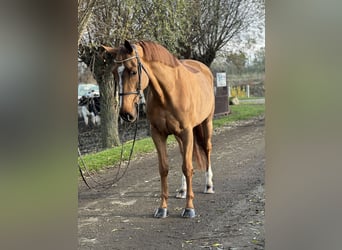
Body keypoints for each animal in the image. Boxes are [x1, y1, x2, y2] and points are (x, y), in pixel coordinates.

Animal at [103, 40, 214, 217]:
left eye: (133, 71)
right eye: (114, 73)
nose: (126, 114)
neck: (169, 92)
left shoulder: (187, 132)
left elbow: (187, 167)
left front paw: (189, 208)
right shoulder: (158, 134)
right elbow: (164, 169)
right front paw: (162, 208)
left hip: (206, 122)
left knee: (207, 149)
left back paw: (208, 185)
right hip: (179, 136)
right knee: (184, 154)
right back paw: (182, 190)